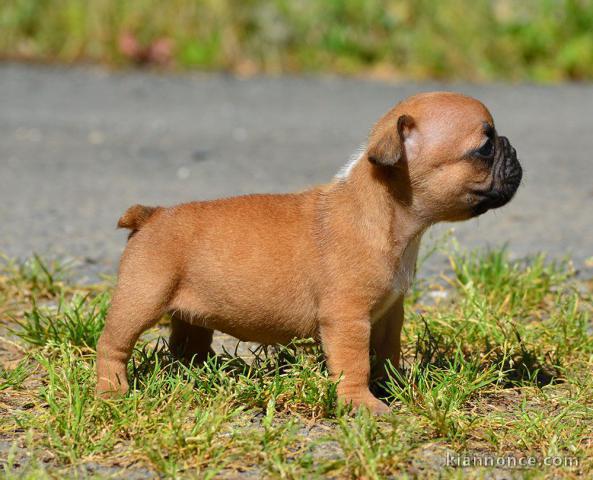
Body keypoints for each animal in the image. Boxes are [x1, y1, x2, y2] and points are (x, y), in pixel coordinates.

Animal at [97, 93, 524, 412]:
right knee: (113, 343)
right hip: (142, 296)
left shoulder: (390, 312)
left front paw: (396, 384)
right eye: (485, 147)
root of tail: (151, 215)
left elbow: (388, 351)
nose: (513, 148)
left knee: (187, 345)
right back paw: (112, 390)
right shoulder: (348, 319)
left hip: (191, 313)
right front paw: (362, 404)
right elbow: (354, 363)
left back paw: (199, 376)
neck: (386, 211)